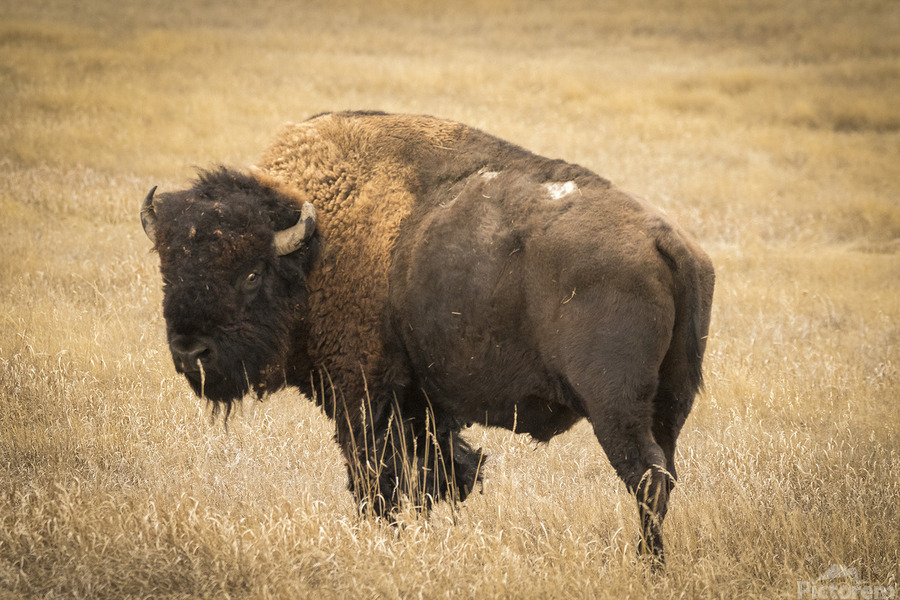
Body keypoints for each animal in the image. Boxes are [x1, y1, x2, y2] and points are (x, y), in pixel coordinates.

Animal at [140, 111, 714, 563]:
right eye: (168, 268)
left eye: (252, 273)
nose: (191, 351)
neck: (317, 247)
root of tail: (666, 241)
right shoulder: (422, 402)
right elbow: (436, 475)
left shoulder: (362, 394)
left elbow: (377, 477)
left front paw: (383, 539)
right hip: (671, 401)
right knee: (666, 472)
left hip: (614, 406)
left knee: (646, 477)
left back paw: (647, 564)